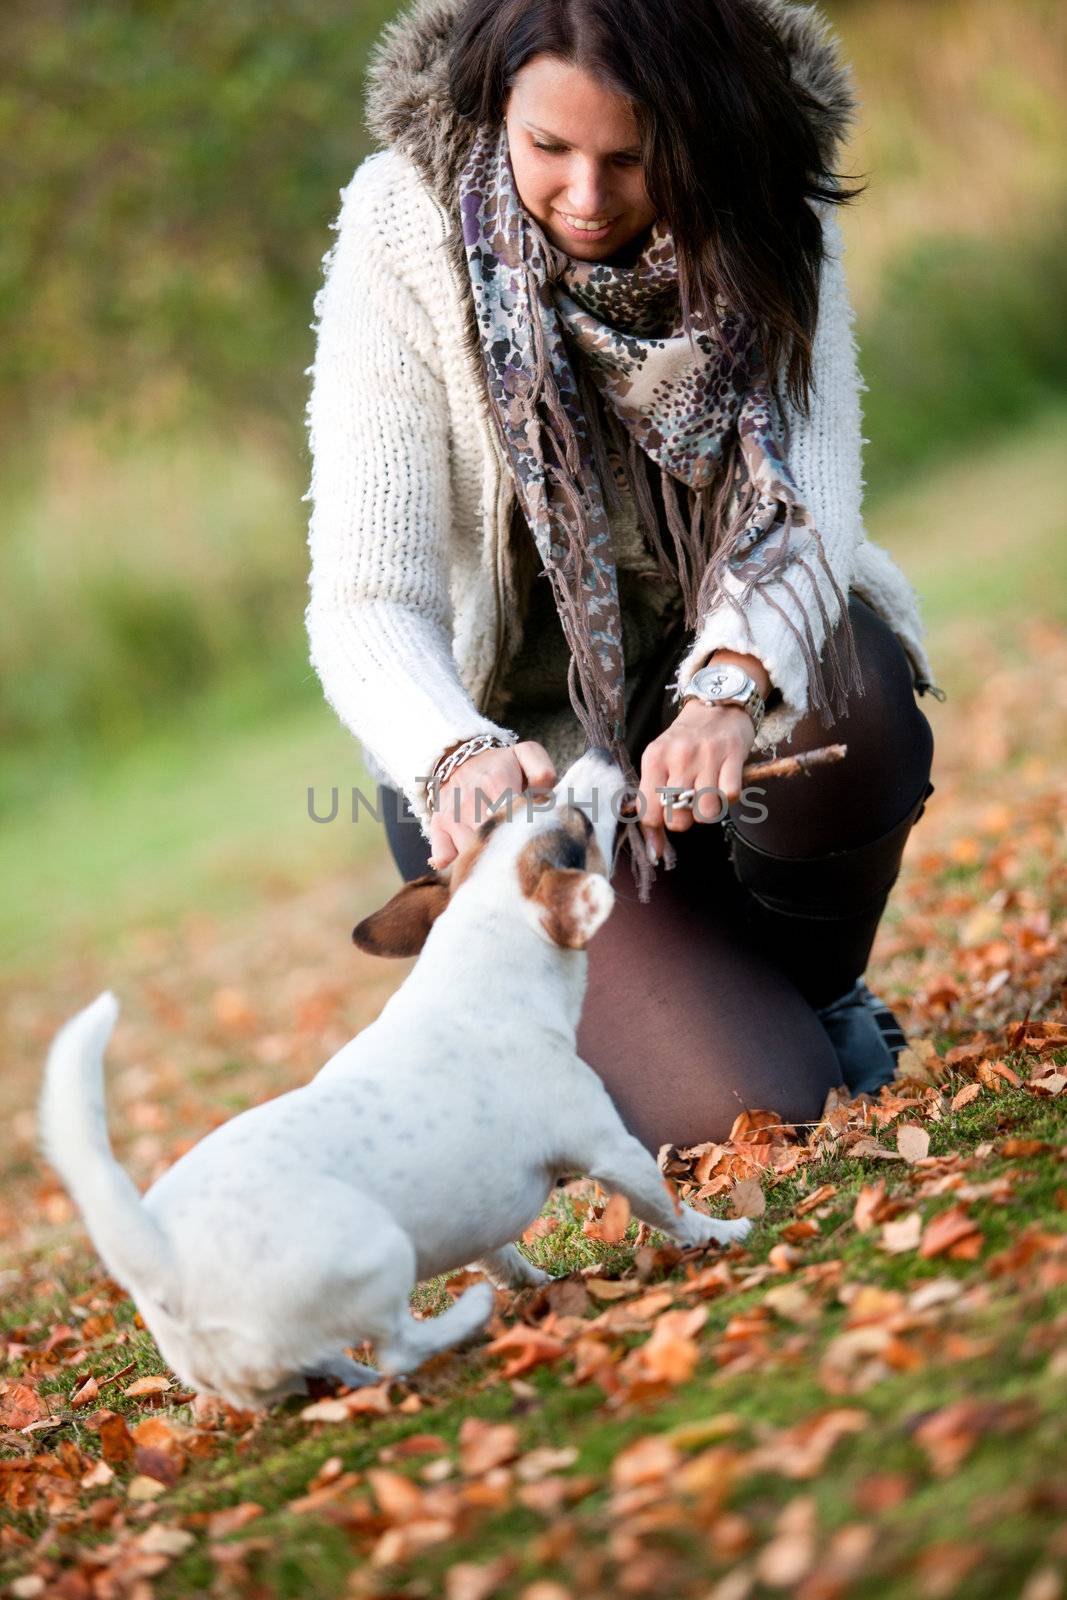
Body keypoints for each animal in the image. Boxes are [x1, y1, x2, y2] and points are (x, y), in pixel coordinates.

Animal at [41, 742, 751, 1408]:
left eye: (507, 809)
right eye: (578, 825)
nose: (603, 751)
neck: (478, 973)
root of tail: (161, 1258)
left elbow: (504, 1257)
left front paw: (540, 1286)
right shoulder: (610, 1148)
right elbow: (669, 1209)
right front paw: (721, 1232)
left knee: (335, 1364)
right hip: (378, 1254)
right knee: (399, 1349)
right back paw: (463, 1320)